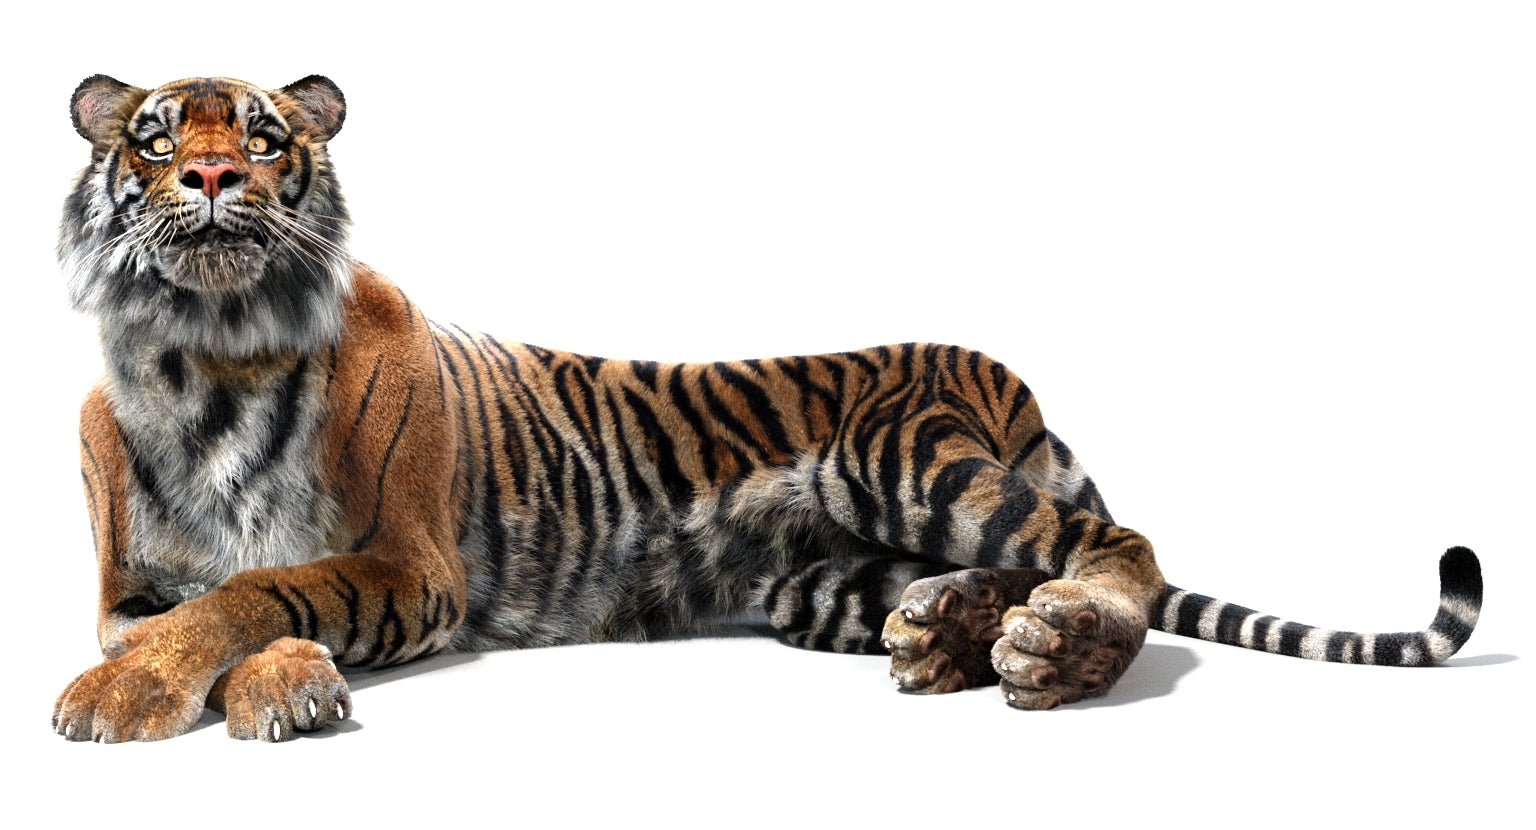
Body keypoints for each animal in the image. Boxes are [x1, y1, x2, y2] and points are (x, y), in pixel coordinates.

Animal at [52, 74, 1484, 743]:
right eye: (156, 135)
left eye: (266, 133)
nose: (216, 177)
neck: (210, 362)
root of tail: (1005, 378)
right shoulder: (132, 580)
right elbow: (211, 605)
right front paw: (261, 687)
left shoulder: (411, 562)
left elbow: (262, 589)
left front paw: (149, 698)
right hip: (821, 577)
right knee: (985, 578)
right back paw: (948, 633)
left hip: (907, 454)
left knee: (1111, 547)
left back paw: (1054, 650)